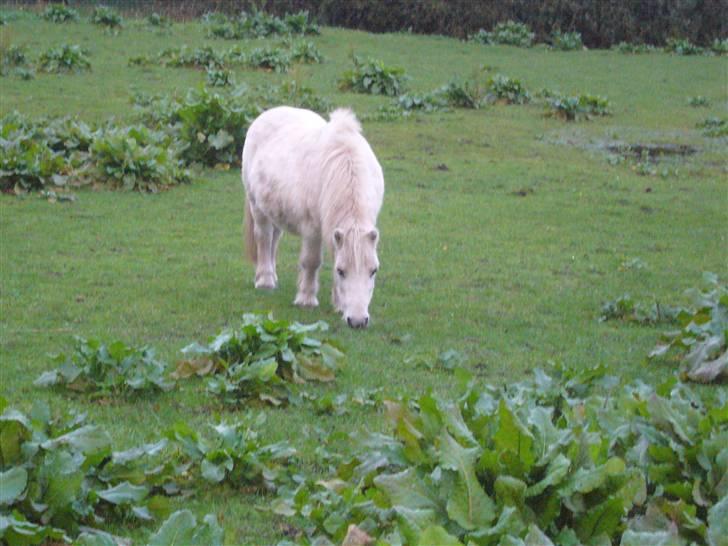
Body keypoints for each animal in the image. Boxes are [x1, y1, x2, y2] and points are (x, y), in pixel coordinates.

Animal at [242, 106, 384, 328]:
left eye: (373, 271)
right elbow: (311, 261)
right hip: (257, 206)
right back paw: (265, 280)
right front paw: (306, 299)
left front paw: (338, 304)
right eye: (341, 271)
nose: (358, 321)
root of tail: (266, 114)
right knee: (263, 239)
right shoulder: (312, 229)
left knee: (273, 239)